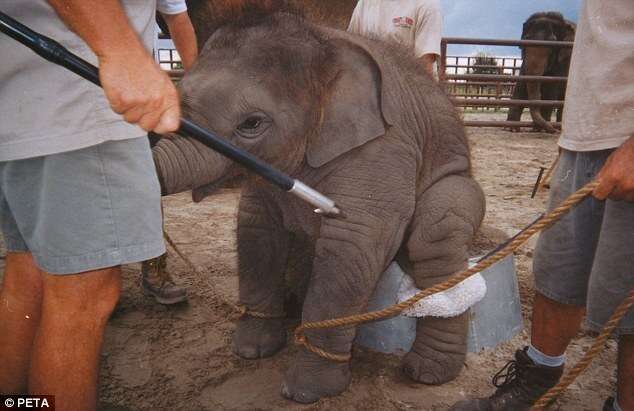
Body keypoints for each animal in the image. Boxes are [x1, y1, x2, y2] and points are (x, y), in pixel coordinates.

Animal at [152, 1, 484, 404]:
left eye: (251, 124)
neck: (325, 45)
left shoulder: (385, 146)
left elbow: (353, 244)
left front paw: (306, 391)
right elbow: (255, 228)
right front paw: (251, 351)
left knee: (438, 232)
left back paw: (427, 373)